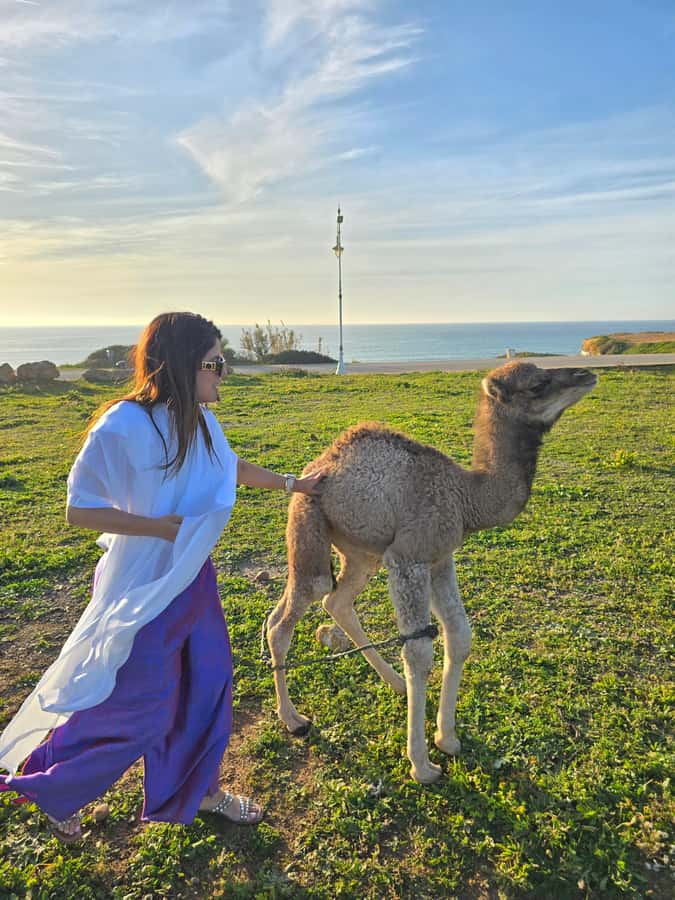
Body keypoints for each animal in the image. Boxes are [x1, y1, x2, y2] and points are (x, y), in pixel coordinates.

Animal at [266, 361, 597, 783]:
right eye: (537, 384)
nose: (586, 374)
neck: (466, 496)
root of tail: (314, 467)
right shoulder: (410, 558)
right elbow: (419, 652)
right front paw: (422, 764)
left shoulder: (440, 558)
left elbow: (460, 636)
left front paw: (448, 738)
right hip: (309, 525)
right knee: (287, 617)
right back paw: (293, 719)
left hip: (362, 553)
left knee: (337, 601)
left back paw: (394, 684)